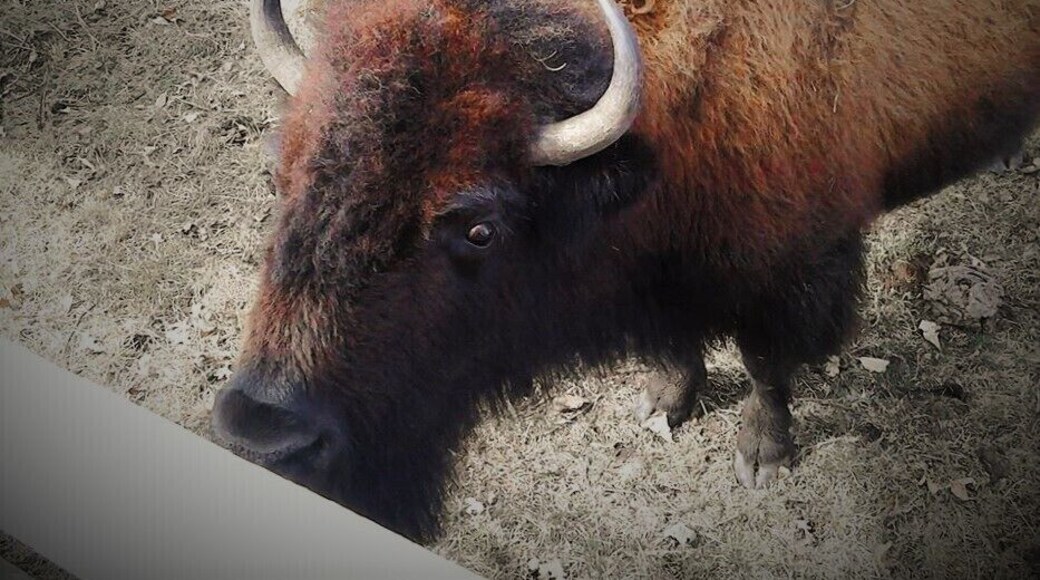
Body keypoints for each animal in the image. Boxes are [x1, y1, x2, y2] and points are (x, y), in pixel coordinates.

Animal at [212, 0, 1040, 540]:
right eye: (278, 175)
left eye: (479, 228)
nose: (263, 434)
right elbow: (674, 343)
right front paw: (665, 402)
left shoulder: (786, 274)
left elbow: (766, 366)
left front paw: (763, 459)